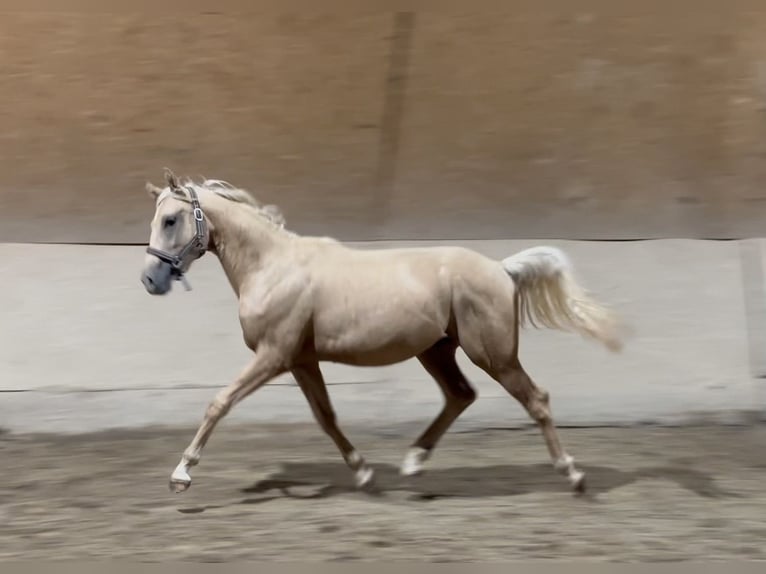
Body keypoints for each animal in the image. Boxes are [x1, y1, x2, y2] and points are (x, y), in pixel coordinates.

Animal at [144, 169, 624, 498]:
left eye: (170, 220)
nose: (150, 280)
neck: (273, 266)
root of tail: (502, 269)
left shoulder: (273, 355)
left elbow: (219, 402)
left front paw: (181, 474)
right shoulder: (301, 360)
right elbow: (326, 417)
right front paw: (364, 472)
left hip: (494, 355)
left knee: (535, 400)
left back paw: (573, 474)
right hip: (437, 351)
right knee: (460, 395)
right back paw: (413, 463)